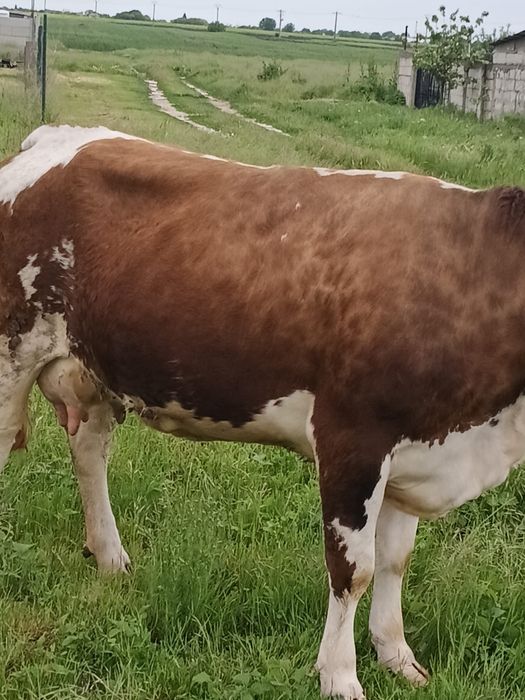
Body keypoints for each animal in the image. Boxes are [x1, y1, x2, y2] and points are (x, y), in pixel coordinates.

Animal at [0, 124, 524, 700]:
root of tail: (57, 135)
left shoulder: (419, 445)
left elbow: (395, 560)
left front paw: (396, 656)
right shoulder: (352, 439)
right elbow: (353, 570)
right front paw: (340, 676)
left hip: (94, 371)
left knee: (89, 454)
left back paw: (111, 558)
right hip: (11, 355)